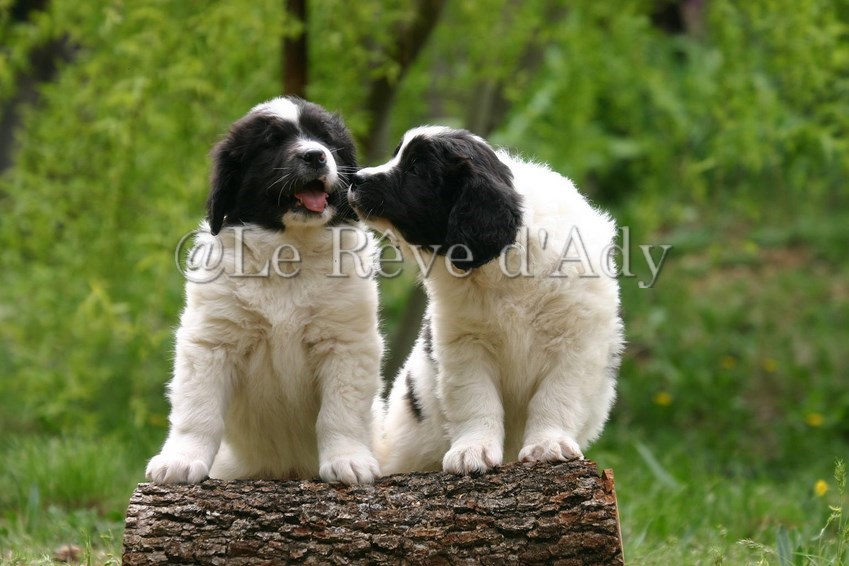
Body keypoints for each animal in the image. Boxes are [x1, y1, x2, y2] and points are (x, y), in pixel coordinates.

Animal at [146, 96, 383, 485]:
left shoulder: (345, 341)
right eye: (272, 142)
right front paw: (181, 459)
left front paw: (348, 459)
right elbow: (198, 410)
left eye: (326, 138)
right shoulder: (213, 340)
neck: (289, 252)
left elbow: (341, 411)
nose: (316, 155)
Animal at [349, 126, 623, 475]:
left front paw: (548, 444)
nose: (355, 179)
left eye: (416, 168)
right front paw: (473, 450)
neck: (505, 261)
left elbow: (556, 395)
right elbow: (476, 398)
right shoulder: (464, 342)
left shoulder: (577, 340)